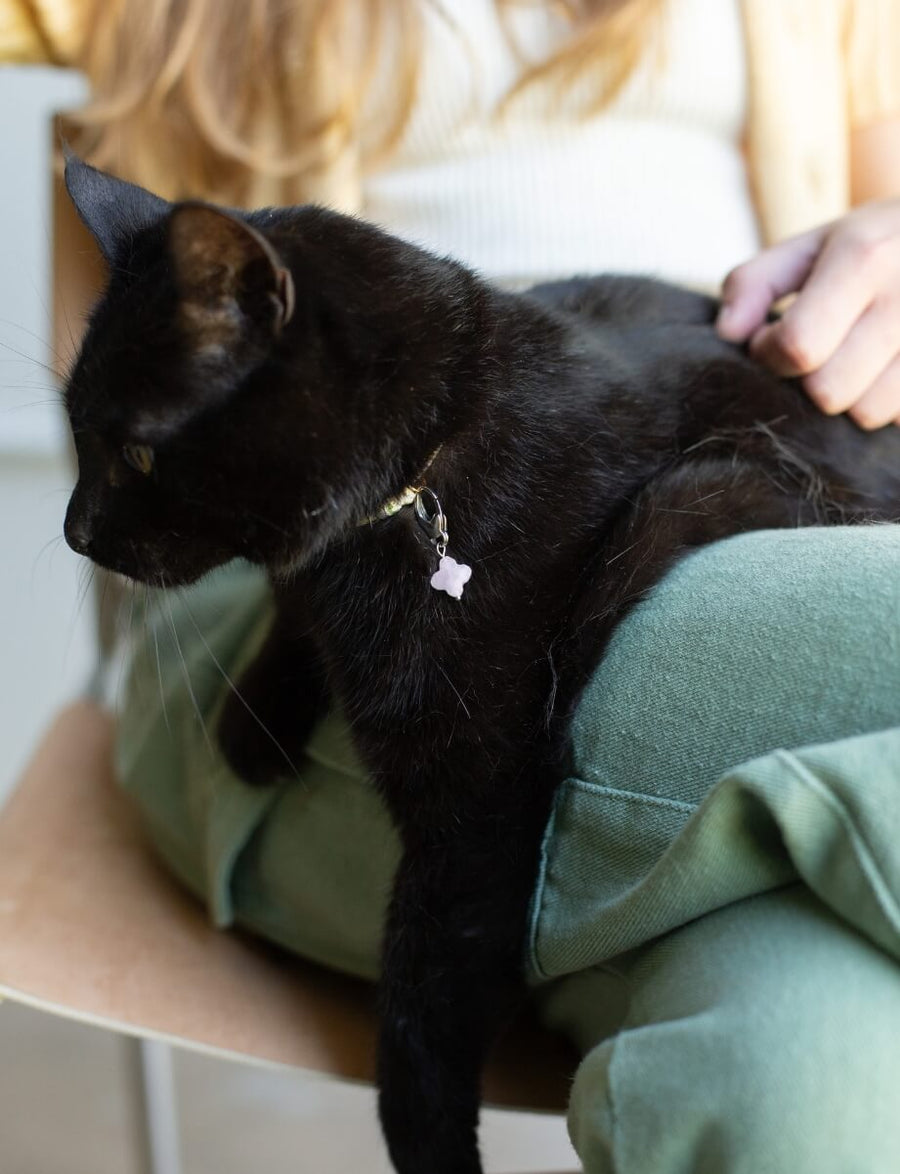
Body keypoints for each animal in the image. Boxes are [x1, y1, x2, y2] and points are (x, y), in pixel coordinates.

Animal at [63, 158, 900, 1174]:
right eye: (74, 431)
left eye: (137, 452)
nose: (74, 530)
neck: (426, 471)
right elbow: (289, 601)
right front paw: (252, 722)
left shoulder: (477, 812)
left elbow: (421, 1006)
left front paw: (433, 1151)